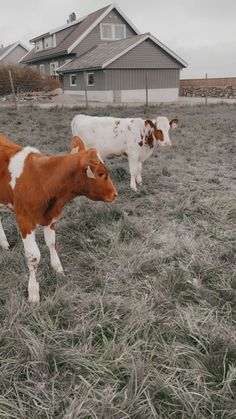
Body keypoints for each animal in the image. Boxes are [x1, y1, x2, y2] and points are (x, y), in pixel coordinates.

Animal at [0, 135, 117, 302]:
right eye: (101, 173)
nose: (115, 194)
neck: (42, 179)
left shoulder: (51, 218)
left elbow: (51, 243)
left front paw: (58, 270)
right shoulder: (24, 220)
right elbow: (33, 257)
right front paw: (33, 293)